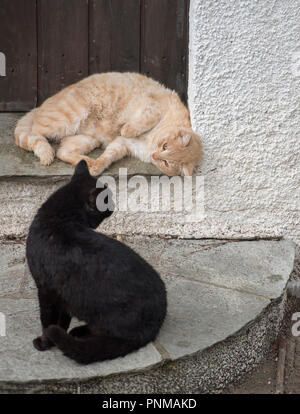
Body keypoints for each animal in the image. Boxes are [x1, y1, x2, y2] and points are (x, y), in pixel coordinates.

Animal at [14, 72, 202, 175]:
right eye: (165, 146)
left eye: (167, 163)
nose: (155, 155)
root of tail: (39, 106)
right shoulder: (153, 105)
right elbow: (140, 122)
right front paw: (125, 127)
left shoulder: (123, 145)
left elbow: (107, 157)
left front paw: (96, 167)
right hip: (68, 118)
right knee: (35, 133)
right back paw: (46, 151)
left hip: (87, 140)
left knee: (62, 151)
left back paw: (87, 162)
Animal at [25, 160, 166, 364]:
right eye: (107, 199)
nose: (114, 205)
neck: (59, 218)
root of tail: (155, 323)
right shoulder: (62, 295)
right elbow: (61, 320)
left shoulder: (45, 290)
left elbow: (47, 322)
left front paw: (44, 343)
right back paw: (76, 332)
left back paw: (77, 333)